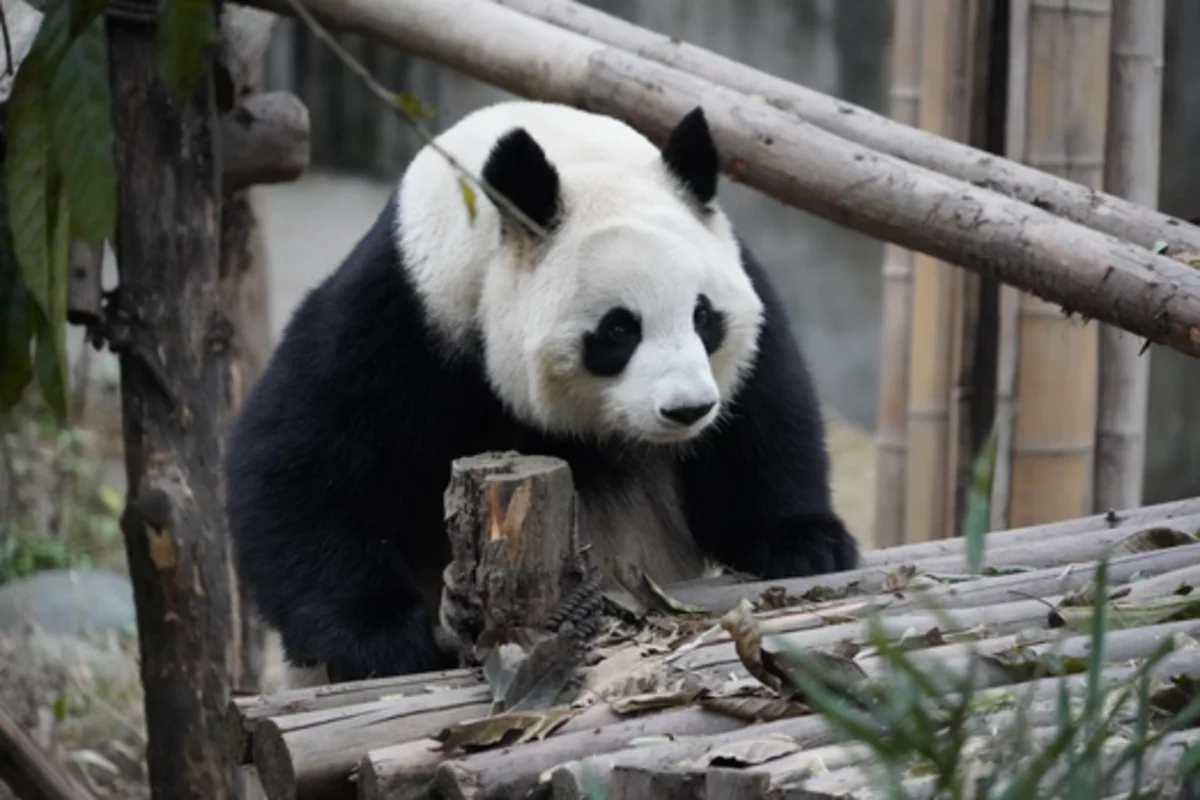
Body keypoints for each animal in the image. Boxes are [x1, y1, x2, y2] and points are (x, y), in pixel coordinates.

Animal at [223, 100, 859, 688]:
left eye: (704, 317)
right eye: (619, 330)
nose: (688, 410)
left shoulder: (739, 285)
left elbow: (763, 420)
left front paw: (805, 544)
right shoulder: (405, 308)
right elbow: (301, 462)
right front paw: (382, 637)